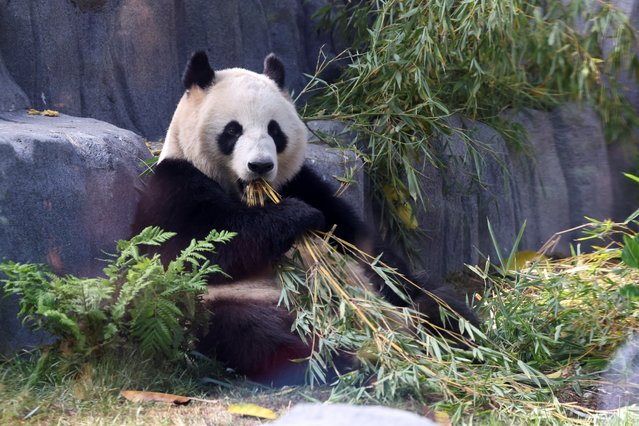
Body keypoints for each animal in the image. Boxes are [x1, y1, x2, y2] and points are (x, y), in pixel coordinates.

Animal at [132, 50, 478, 386]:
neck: (249, 195)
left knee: (440, 301)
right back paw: (351, 358)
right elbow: (196, 251)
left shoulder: (302, 182)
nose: (260, 166)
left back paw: (444, 330)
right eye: (232, 130)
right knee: (259, 334)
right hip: (233, 305)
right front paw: (298, 216)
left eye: (274, 130)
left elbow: (362, 243)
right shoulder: (175, 189)